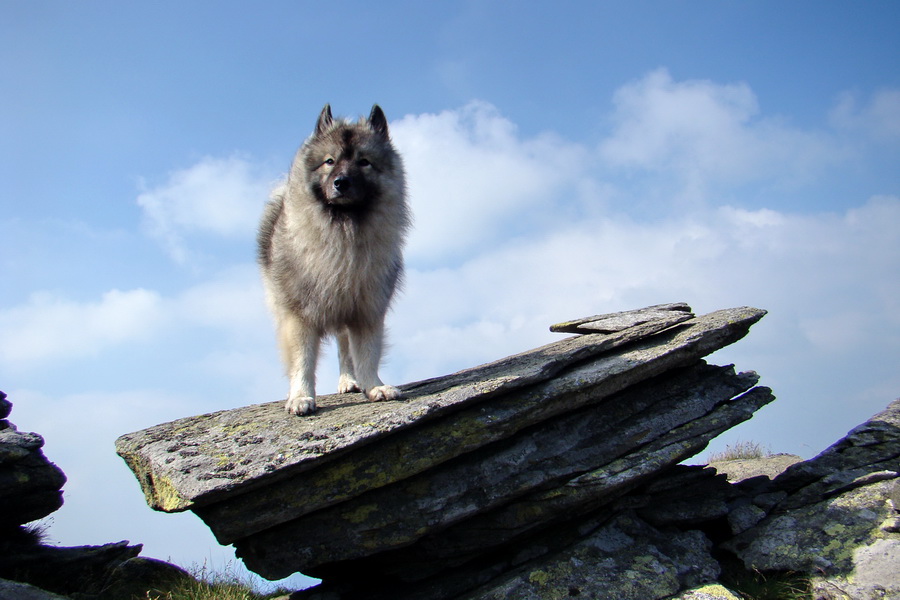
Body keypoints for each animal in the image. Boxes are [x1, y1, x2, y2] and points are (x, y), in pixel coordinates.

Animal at [256, 105, 412, 414]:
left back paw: (349, 381)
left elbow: (366, 354)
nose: (341, 182)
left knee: (344, 348)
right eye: (329, 161)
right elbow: (303, 361)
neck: (343, 232)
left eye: (364, 162)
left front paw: (373, 386)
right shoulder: (298, 316)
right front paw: (300, 397)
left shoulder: (366, 311)